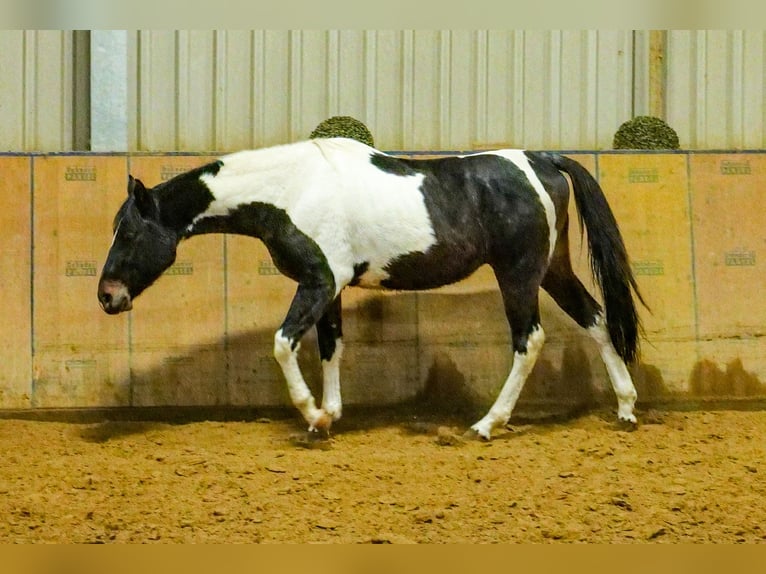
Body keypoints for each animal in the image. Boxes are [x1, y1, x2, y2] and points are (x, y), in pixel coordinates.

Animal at [97, 138, 648, 440]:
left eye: (128, 232)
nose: (107, 296)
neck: (290, 189)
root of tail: (543, 160)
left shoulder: (319, 281)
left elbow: (283, 343)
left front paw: (313, 415)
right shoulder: (331, 287)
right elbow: (330, 346)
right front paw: (329, 416)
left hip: (517, 274)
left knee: (529, 340)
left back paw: (488, 424)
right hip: (552, 269)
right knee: (596, 318)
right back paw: (625, 408)